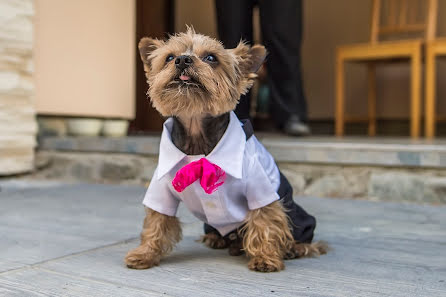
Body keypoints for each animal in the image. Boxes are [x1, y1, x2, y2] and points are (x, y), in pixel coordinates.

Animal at [123, 27, 326, 270]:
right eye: (170, 57)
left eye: (211, 58)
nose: (183, 60)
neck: (197, 137)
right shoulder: (160, 187)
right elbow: (156, 220)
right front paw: (145, 253)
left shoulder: (260, 186)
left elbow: (265, 219)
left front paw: (265, 257)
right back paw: (217, 239)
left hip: (296, 214)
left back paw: (293, 248)